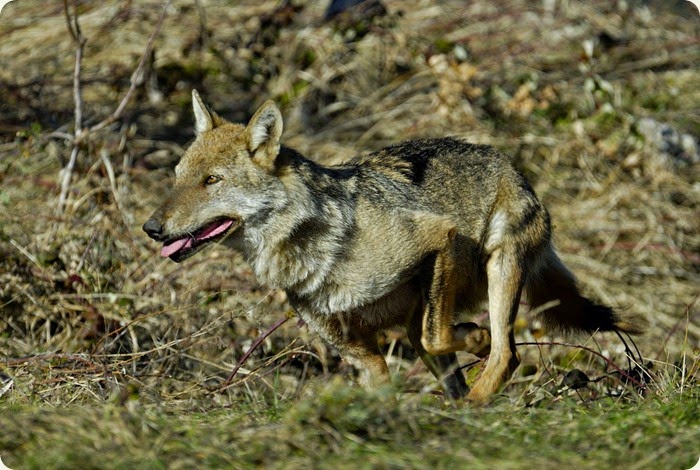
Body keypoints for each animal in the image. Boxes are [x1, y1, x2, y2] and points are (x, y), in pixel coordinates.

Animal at [142, 92, 640, 404]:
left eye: (211, 181)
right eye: (177, 176)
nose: (150, 227)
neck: (320, 244)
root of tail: (504, 160)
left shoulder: (438, 238)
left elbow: (449, 338)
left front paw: (475, 338)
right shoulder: (362, 354)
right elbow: (385, 390)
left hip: (498, 272)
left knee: (505, 353)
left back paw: (475, 397)